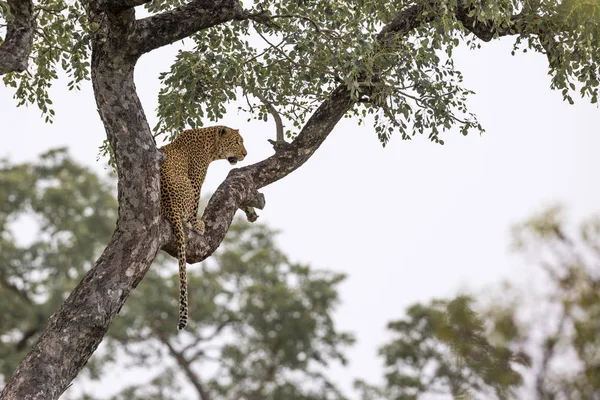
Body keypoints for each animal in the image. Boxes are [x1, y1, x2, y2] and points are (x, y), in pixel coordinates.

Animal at [158, 126, 247, 332]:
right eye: (237, 142)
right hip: (187, 187)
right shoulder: (195, 179)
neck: (210, 146)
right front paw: (196, 223)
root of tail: (171, 208)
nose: (245, 154)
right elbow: (195, 206)